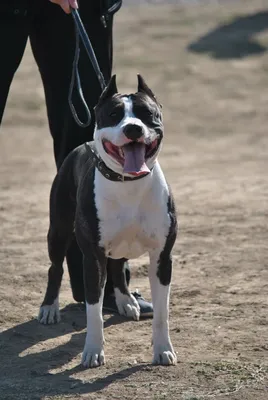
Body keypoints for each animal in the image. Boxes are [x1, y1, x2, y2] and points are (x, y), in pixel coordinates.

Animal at [37, 73, 176, 368]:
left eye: (147, 114)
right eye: (114, 115)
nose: (133, 128)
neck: (129, 183)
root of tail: (82, 146)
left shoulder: (162, 257)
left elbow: (162, 313)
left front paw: (163, 349)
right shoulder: (92, 259)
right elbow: (94, 311)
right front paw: (92, 351)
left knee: (117, 267)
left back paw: (126, 301)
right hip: (59, 230)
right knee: (56, 268)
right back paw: (49, 308)